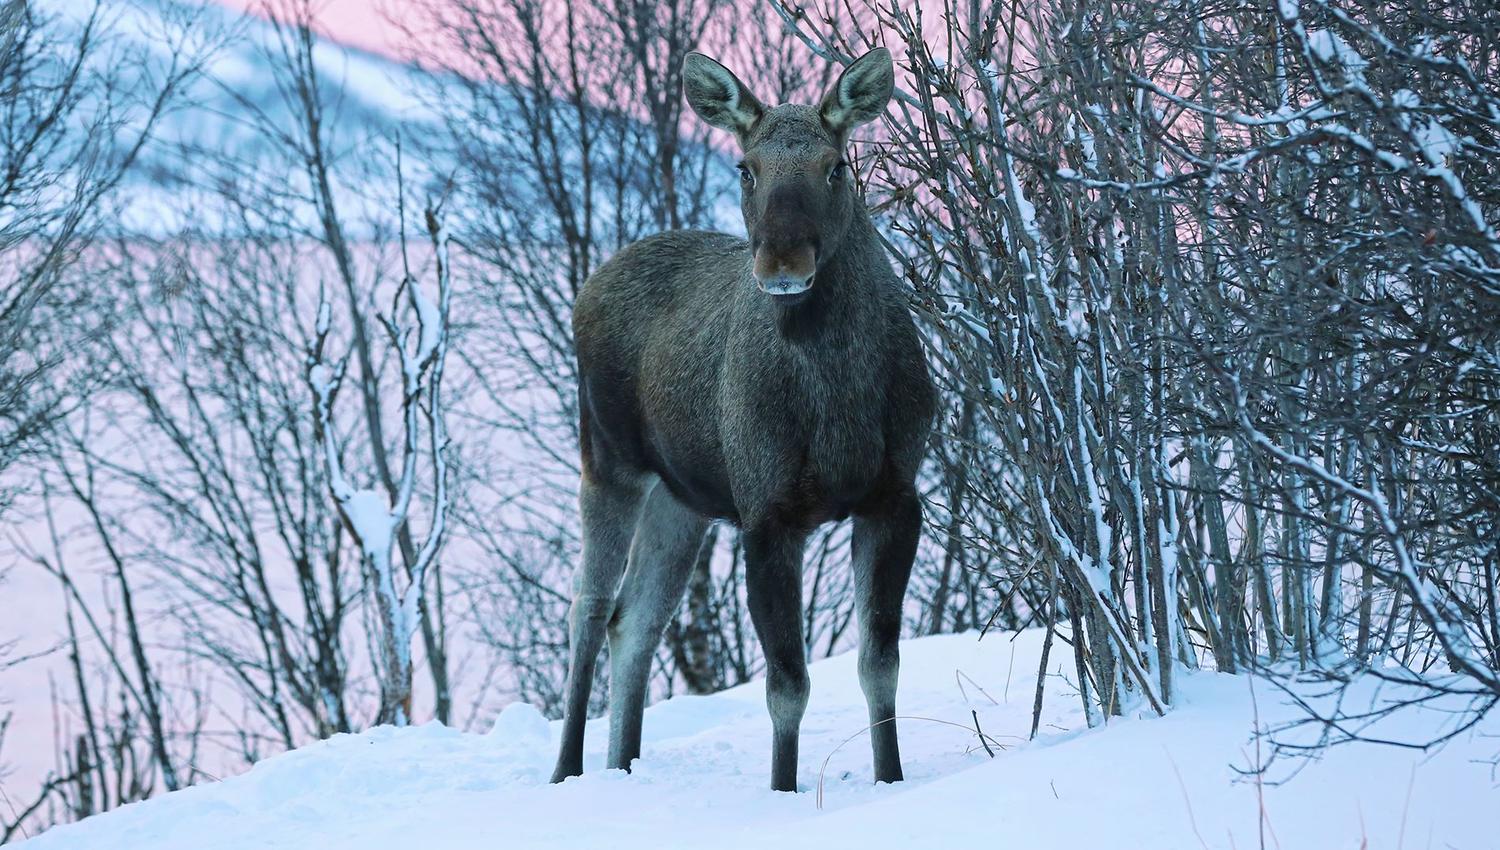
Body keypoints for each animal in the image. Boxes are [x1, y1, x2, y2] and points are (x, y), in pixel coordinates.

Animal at [549, 47, 936, 793]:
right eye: (745, 166)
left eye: (835, 165)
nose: (783, 261)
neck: (838, 407)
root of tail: (585, 286)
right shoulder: (766, 511)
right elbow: (787, 684)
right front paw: (783, 790)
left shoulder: (895, 494)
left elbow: (880, 665)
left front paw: (892, 779)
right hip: (607, 459)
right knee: (587, 604)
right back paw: (567, 771)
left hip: (682, 498)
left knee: (636, 619)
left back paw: (623, 764)